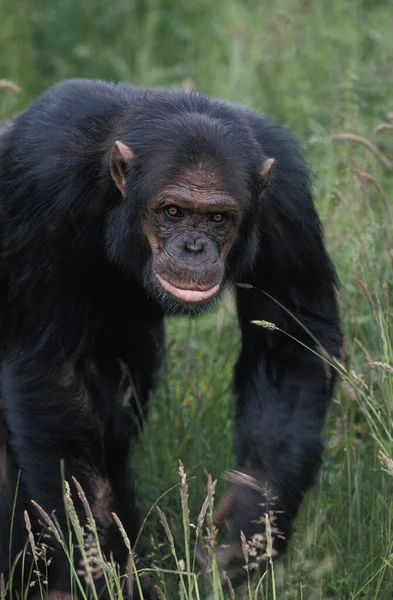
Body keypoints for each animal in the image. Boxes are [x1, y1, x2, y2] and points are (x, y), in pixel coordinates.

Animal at [0, 78, 342, 596]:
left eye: (218, 218)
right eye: (173, 211)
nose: (194, 247)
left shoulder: (287, 200)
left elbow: (289, 343)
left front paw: (249, 525)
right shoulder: (41, 181)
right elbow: (52, 367)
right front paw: (100, 562)